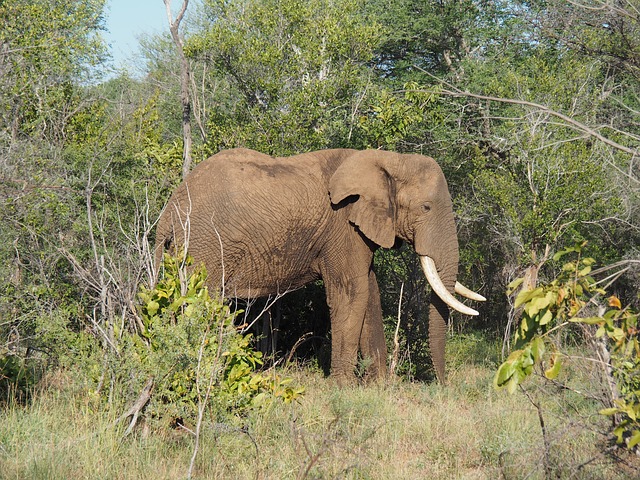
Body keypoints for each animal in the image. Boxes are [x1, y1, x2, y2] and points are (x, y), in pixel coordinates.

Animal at [156, 148, 484, 384]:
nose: (443, 386)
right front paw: (344, 389)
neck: (389, 159)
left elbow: (370, 293)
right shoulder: (342, 227)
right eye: (426, 208)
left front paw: (378, 387)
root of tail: (169, 209)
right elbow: (352, 294)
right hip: (204, 245)